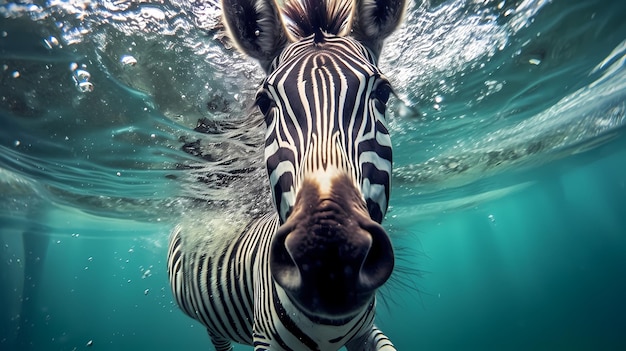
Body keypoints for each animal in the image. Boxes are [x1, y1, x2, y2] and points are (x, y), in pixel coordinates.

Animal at [166, 0, 404, 350]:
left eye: (383, 93)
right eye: (263, 103)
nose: (329, 258)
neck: (329, 325)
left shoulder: (364, 332)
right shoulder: (265, 339)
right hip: (210, 321)